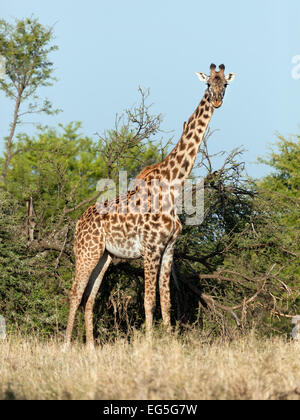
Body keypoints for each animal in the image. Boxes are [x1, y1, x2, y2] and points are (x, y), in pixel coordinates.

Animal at [64, 62, 236, 344]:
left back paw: (91, 347)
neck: (172, 186)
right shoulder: (151, 249)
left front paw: (170, 342)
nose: (218, 100)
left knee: (90, 298)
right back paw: (67, 344)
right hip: (86, 251)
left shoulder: (168, 249)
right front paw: (149, 342)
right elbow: (149, 300)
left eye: (226, 83)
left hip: (105, 256)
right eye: (208, 83)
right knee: (75, 293)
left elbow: (166, 301)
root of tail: (79, 223)